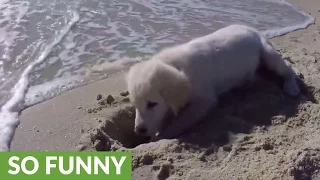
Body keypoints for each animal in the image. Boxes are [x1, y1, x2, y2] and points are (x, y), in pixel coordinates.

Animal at [127, 24, 300, 139]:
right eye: (135, 105)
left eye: (152, 104)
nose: (139, 131)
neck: (175, 66)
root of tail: (252, 28)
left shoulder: (204, 101)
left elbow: (179, 122)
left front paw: (161, 135)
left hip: (268, 54)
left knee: (288, 70)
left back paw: (292, 87)